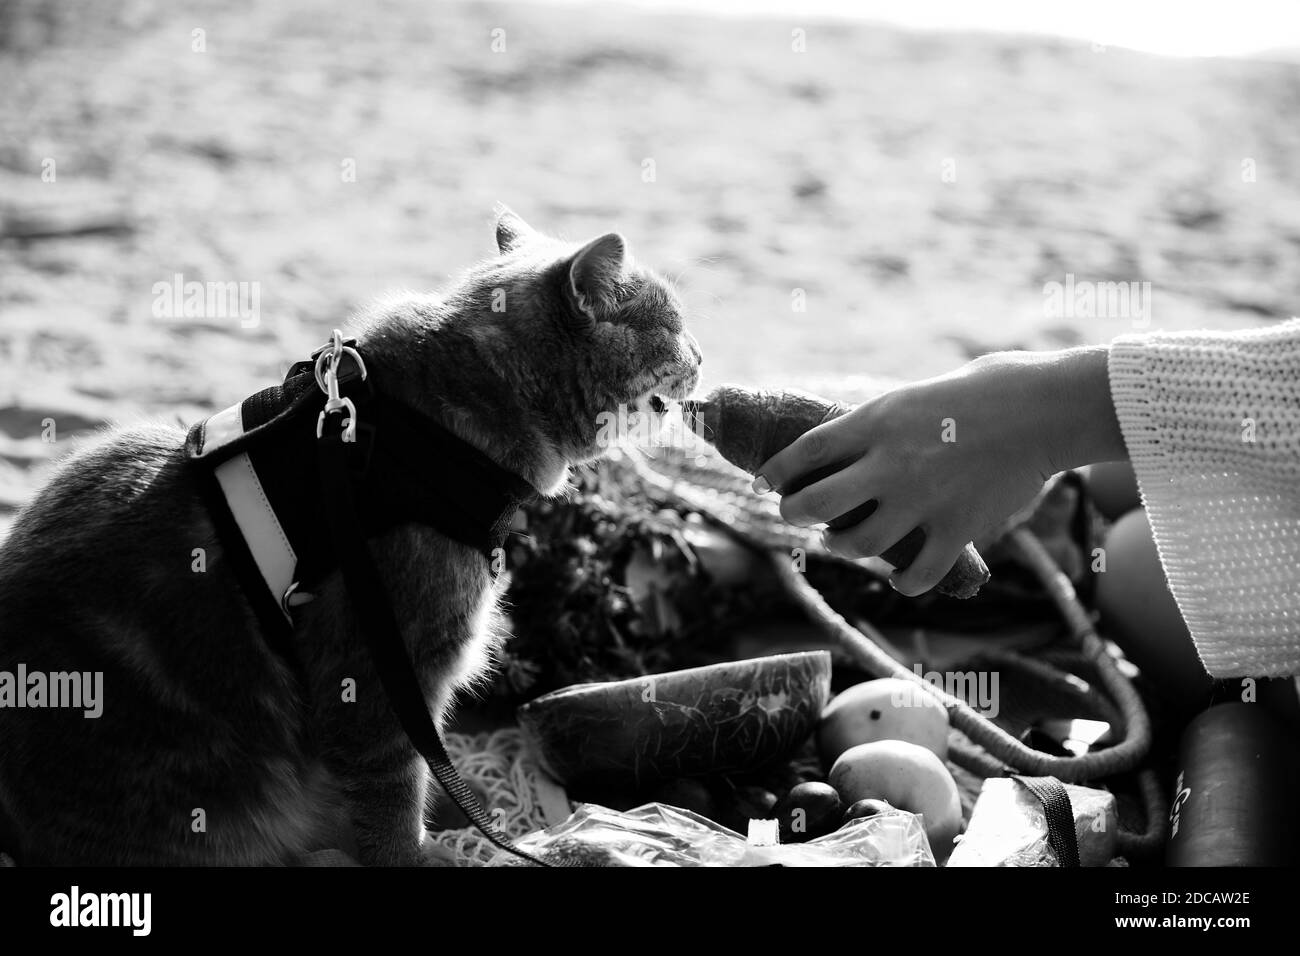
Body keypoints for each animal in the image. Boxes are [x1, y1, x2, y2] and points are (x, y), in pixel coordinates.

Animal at [0, 209, 702, 868]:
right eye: (674, 326)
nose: (701, 354)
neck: (431, 432)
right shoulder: (381, 675)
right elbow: (395, 798)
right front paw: (423, 851)